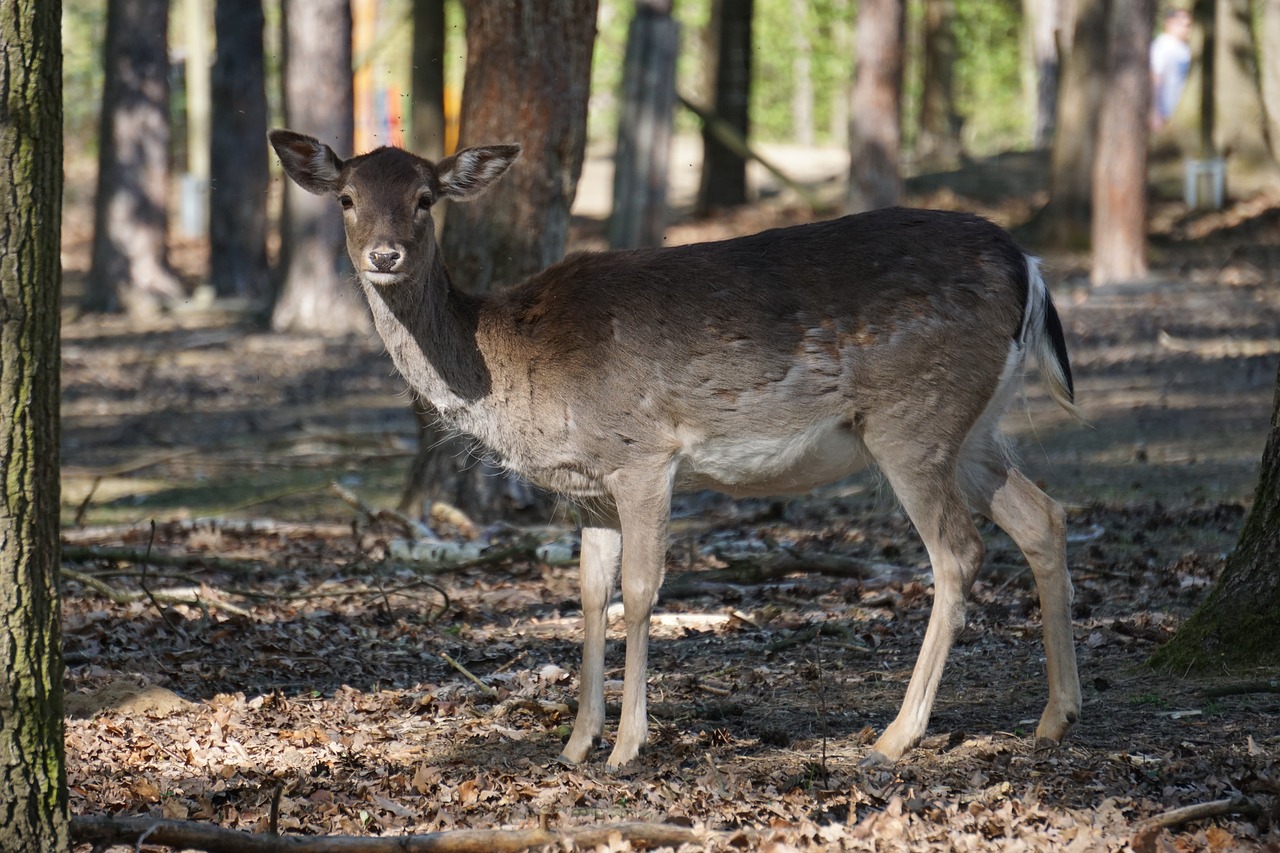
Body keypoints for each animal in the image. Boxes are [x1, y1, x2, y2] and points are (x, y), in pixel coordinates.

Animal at [267, 128, 1080, 768]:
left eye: (426, 197)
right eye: (347, 198)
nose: (384, 255)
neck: (509, 370)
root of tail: (1030, 266)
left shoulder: (642, 454)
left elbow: (639, 589)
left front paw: (628, 745)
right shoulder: (588, 487)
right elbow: (587, 593)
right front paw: (574, 743)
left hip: (912, 418)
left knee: (959, 552)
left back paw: (897, 734)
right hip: (974, 428)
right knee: (1044, 515)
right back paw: (1054, 717)